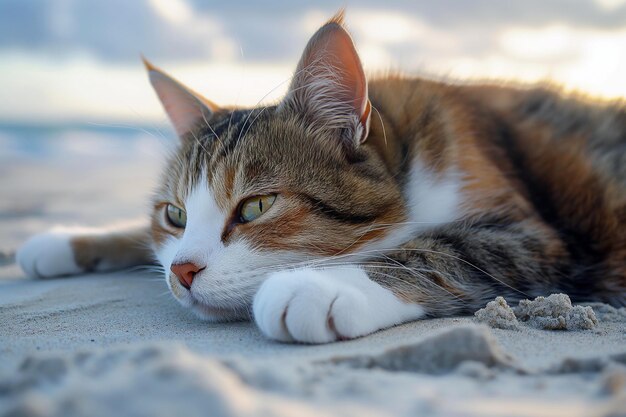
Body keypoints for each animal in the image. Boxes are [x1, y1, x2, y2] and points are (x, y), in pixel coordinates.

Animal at [14, 13, 624, 342]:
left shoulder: (539, 235)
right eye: (175, 215)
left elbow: (441, 248)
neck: (408, 160)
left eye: (257, 206)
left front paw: (322, 284)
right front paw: (70, 240)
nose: (182, 273)